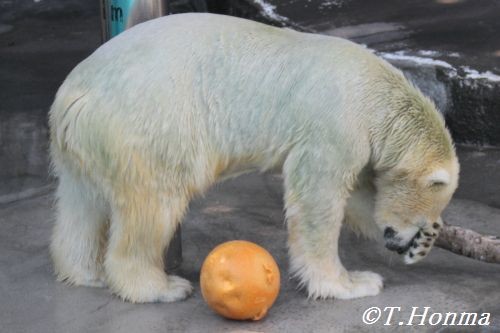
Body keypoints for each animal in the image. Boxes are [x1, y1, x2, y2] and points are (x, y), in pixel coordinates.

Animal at [48, 13, 458, 302]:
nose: (398, 243)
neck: (376, 97)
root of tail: (74, 95)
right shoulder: (334, 127)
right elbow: (318, 201)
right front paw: (353, 283)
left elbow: (358, 196)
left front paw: (427, 241)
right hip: (148, 125)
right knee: (153, 204)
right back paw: (160, 287)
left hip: (86, 144)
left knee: (82, 204)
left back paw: (85, 272)